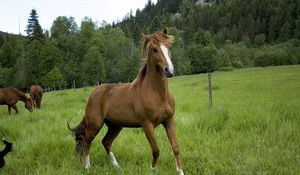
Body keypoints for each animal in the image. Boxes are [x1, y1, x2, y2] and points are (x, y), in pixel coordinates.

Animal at [68, 29, 184, 175]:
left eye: (169, 47)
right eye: (154, 49)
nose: (169, 70)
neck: (157, 95)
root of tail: (94, 93)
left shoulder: (169, 120)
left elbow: (176, 147)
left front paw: (180, 171)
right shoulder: (147, 125)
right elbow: (156, 150)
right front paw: (152, 169)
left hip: (115, 126)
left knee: (106, 142)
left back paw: (117, 167)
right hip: (95, 124)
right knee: (87, 140)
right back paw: (87, 166)